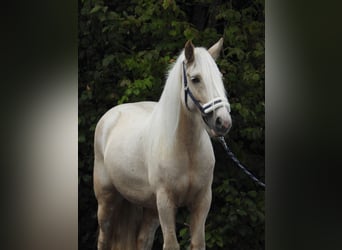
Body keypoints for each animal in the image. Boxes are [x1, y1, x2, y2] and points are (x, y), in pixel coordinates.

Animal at [93, 38, 231, 249]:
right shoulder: (166, 202)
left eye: (220, 77)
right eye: (195, 79)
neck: (185, 149)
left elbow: (198, 242)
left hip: (149, 208)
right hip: (107, 200)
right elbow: (171, 244)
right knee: (103, 238)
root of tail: (109, 117)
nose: (223, 122)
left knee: (143, 240)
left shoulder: (202, 200)